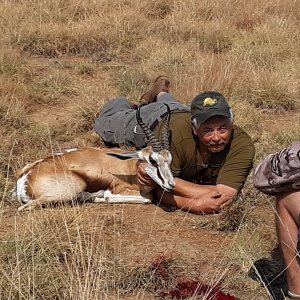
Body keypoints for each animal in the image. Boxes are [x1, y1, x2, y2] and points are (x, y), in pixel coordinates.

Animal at [15, 105, 176, 211]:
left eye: (169, 159)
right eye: (153, 161)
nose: (171, 184)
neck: (131, 170)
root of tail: (26, 177)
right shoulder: (115, 190)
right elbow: (147, 198)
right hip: (73, 188)